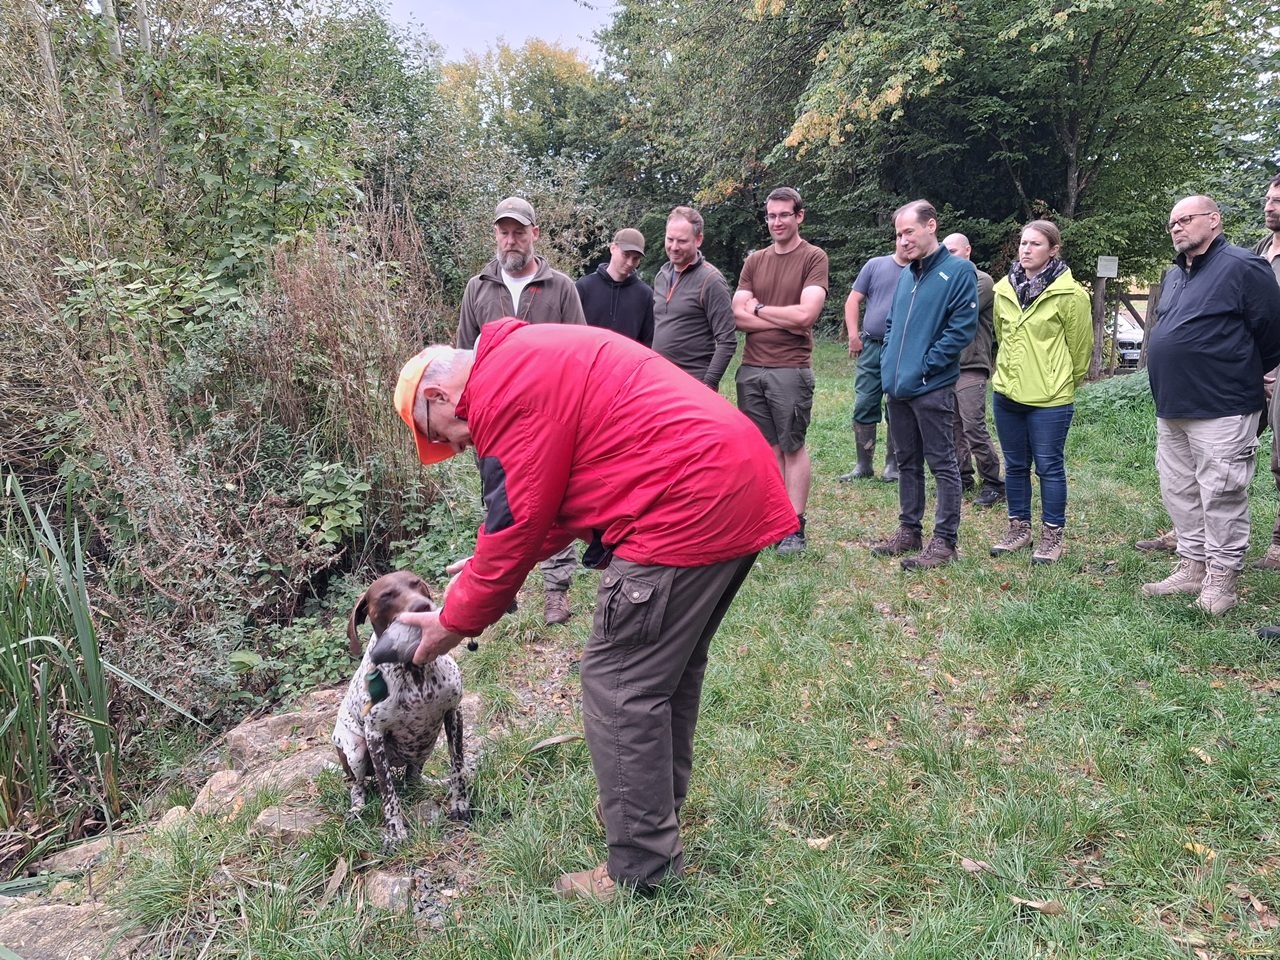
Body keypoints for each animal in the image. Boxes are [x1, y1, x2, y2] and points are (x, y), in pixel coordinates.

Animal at [332, 570, 468, 844]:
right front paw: (395, 831)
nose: (422, 607)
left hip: (425, 743)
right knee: (357, 787)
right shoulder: (374, 737)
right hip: (356, 750)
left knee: (413, 779)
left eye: (417, 584)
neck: (415, 672)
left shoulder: (453, 713)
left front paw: (460, 804)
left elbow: (457, 766)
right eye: (386, 596)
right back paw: (356, 809)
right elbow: (388, 791)